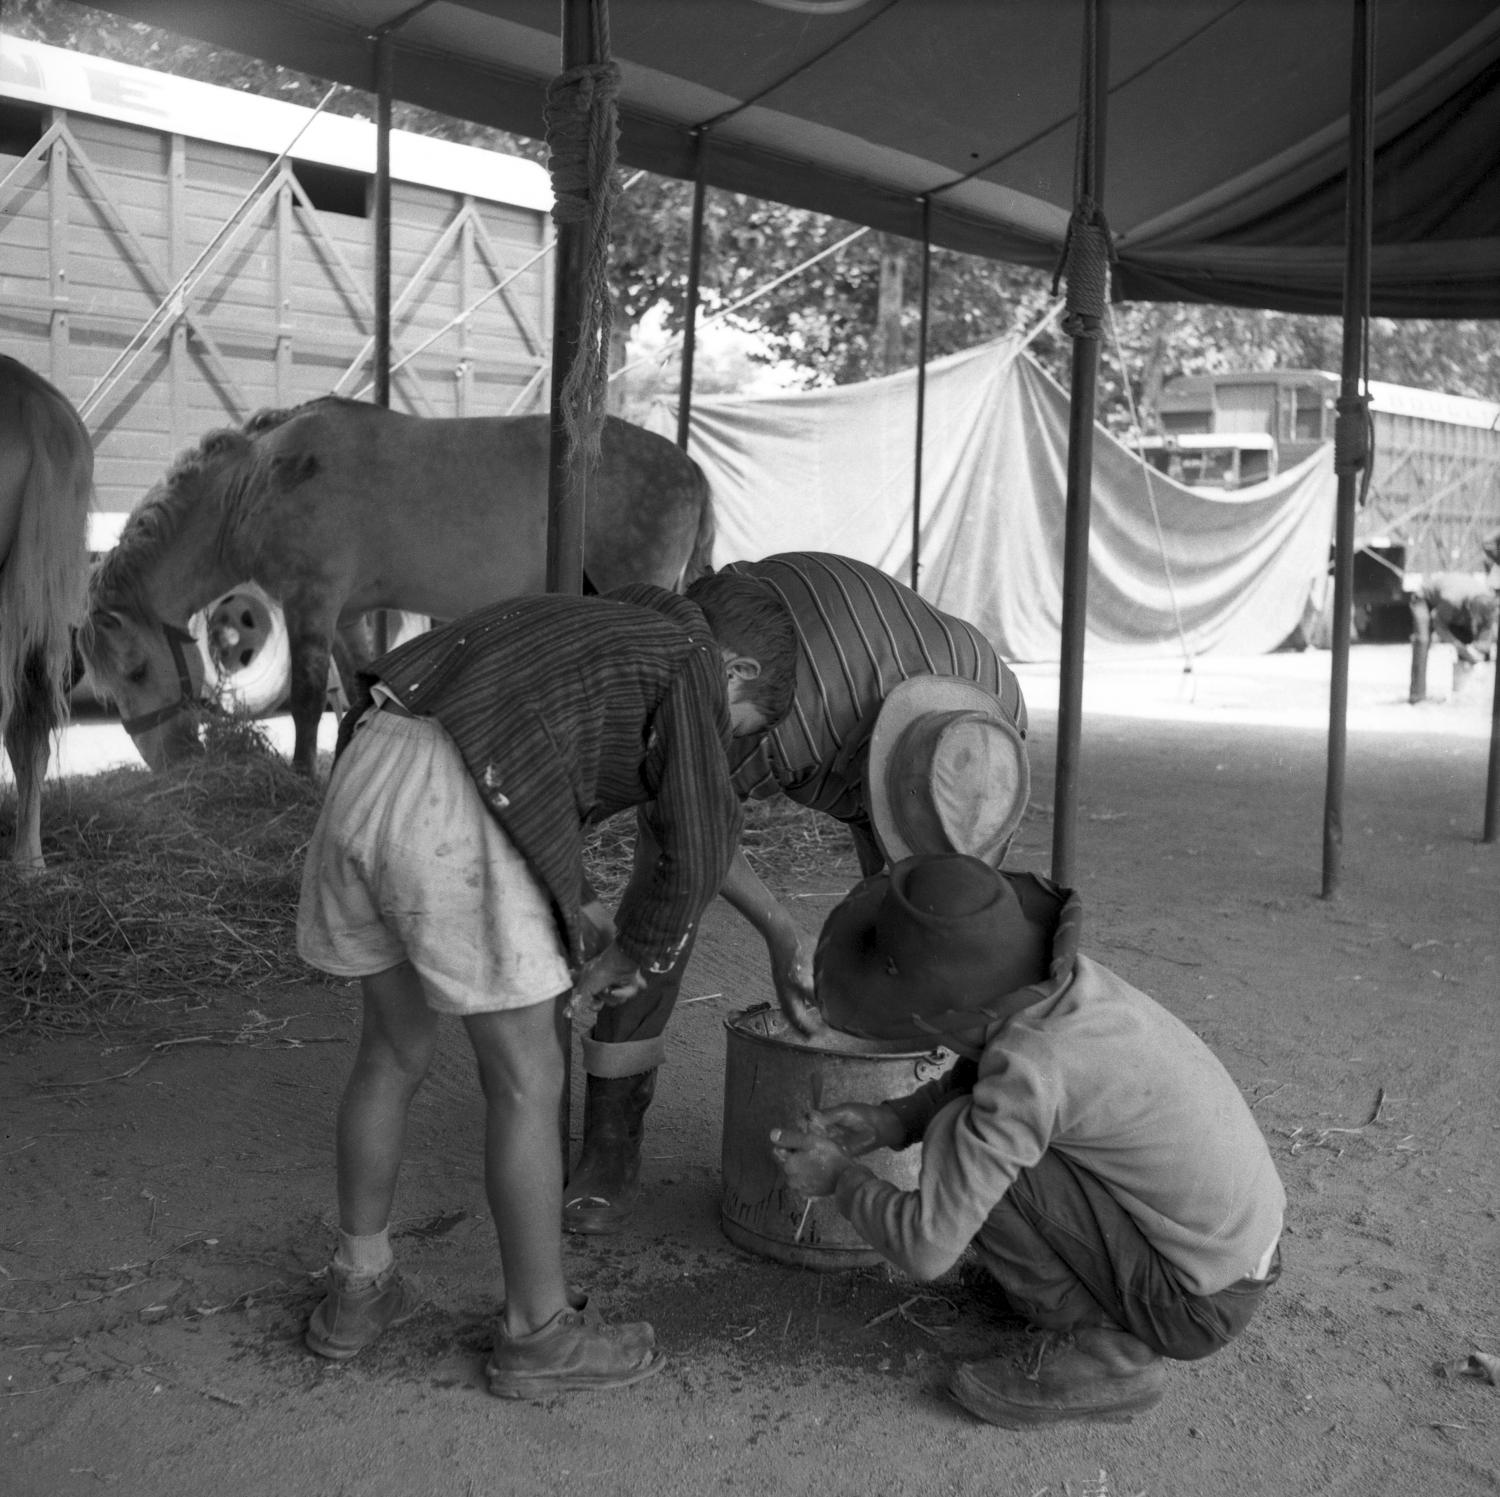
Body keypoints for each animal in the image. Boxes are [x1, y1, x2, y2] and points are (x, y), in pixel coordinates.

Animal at [79, 399, 717, 780]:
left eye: (136, 671)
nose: (171, 762)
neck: (259, 480)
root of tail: (691, 468)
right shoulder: (345, 614)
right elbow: (354, 692)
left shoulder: (311, 601)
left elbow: (307, 699)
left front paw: (301, 776)